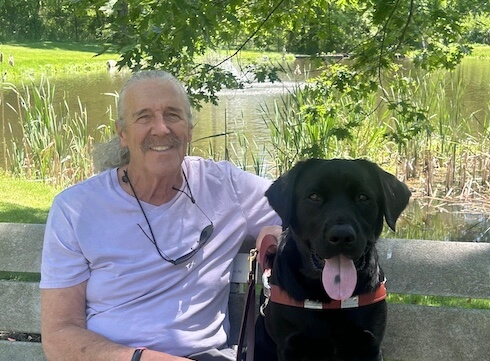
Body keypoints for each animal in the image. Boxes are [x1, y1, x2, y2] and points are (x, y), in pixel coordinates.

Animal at [253, 159, 410, 360]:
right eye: (314, 197)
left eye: (363, 197)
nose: (342, 236)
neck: (329, 300)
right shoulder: (290, 346)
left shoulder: (371, 345)